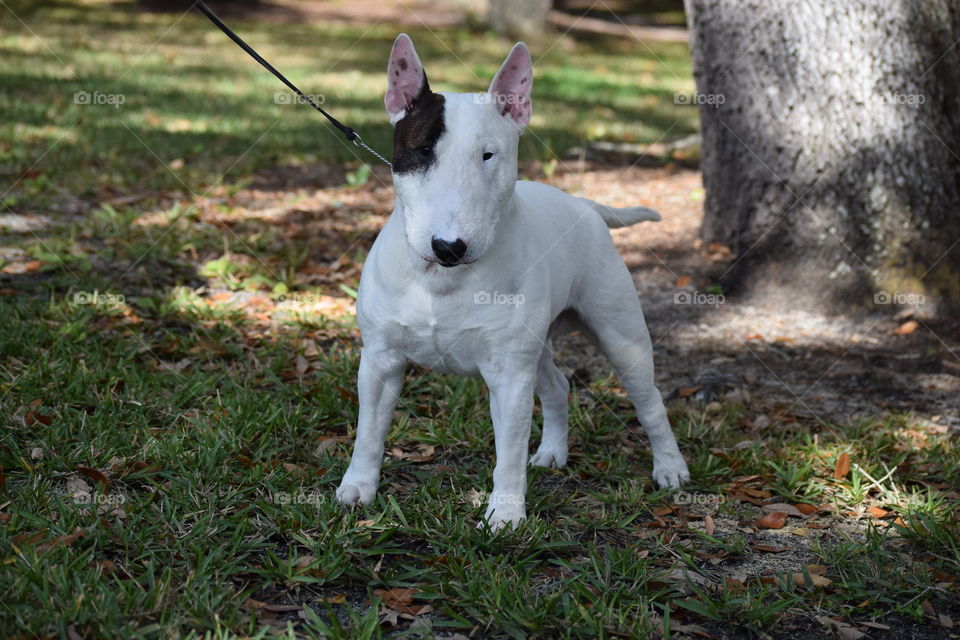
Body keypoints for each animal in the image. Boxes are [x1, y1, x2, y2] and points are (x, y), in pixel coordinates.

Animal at [338, 33, 688, 528]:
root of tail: (584, 204)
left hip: (620, 334)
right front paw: (357, 490)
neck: (441, 282)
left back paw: (670, 467)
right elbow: (369, 432)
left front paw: (504, 516)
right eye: (423, 150)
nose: (449, 246)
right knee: (558, 386)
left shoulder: (509, 374)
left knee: (650, 400)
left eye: (488, 155)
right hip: (538, 344)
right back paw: (552, 453)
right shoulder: (380, 361)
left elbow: (508, 453)